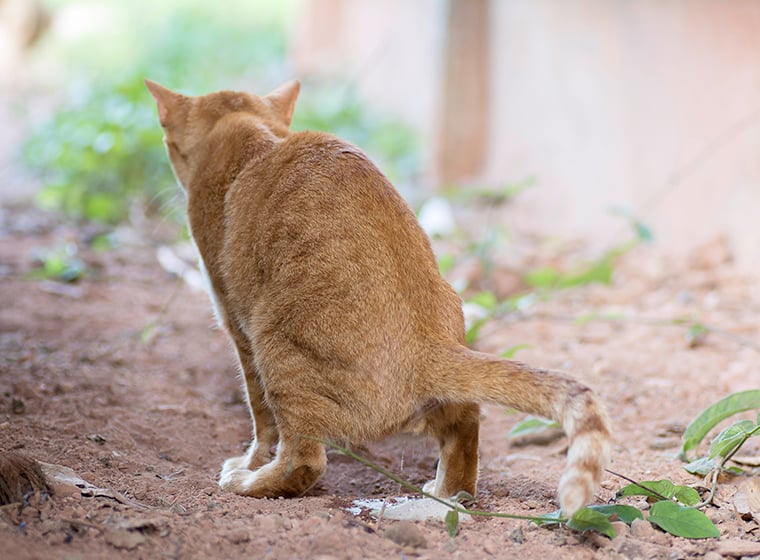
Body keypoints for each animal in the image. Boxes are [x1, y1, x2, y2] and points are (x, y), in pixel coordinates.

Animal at [147, 79, 612, 516]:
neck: (247, 131)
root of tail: (428, 344)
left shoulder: (237, 326)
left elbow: (261, 420)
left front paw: (249, 463)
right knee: (465, 428)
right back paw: (445, 492)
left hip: (275, 346)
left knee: (304, 461)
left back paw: (250, 483)